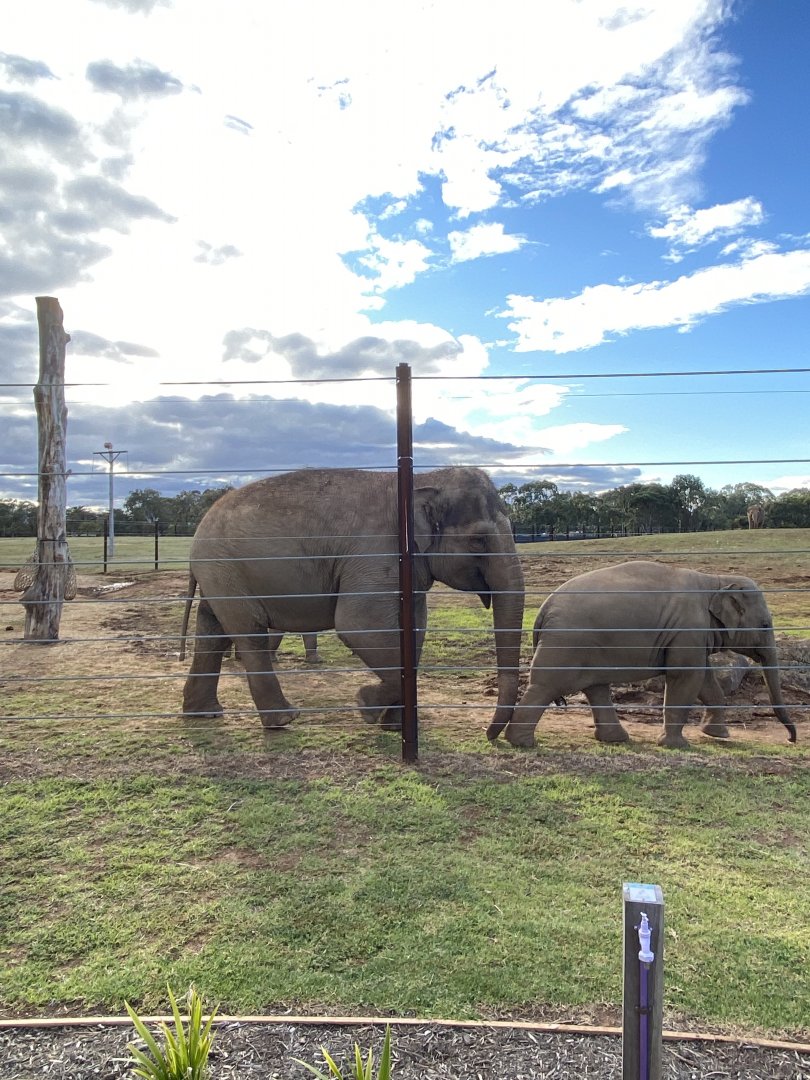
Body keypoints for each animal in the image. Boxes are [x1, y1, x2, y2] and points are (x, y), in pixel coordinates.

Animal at [180, 467, 525, 730]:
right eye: (479, 540)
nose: (490, 734)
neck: (424, 479)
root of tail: (198, 531)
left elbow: (414, 631)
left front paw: (394, 726)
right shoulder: (376, 553)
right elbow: (357, 626)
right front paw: (365, 705)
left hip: (219, 575)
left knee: (212, 632)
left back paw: (205, 713)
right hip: (226, 569)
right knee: (249, 633)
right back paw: (283, 719)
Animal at [487, 560, 795, 750]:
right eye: (765, 625)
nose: (792, 740)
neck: (716, 580)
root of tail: (544, 609)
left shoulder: (691, 638)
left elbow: (705, 679)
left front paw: (717, 734)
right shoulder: (687, 630)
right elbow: (686, 677)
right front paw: (676, 745)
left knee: (596, 688)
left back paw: (615, 740)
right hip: (566, 644)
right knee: (545, 686)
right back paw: (521, 742)